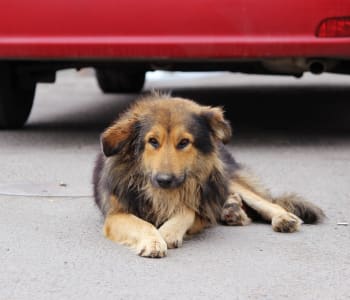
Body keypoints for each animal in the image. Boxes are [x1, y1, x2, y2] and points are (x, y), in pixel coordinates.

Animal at [93, 92, 326, 258]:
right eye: (153, 141)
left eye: (184, 142)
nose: (164, 180)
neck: (163, 194)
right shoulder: (116, 214)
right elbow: (143, 224)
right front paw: (153, 240)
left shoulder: (200, 209)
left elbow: (187, 211)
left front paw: (167, 233)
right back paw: (232, 209)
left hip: (222, 177)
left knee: (261, 200)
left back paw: (281, 217)